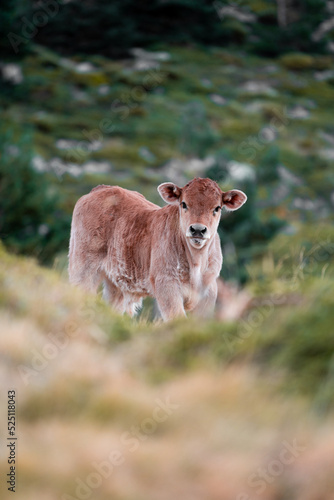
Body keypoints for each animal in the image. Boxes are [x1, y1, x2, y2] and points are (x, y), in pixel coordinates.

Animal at [68, 179, 245, 320]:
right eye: (184, 204)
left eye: (217, 208)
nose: (198, 230)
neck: (196, 261)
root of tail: (102, 188)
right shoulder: (166, 285)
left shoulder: (209, 292)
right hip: (82, 268)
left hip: (116, 282)